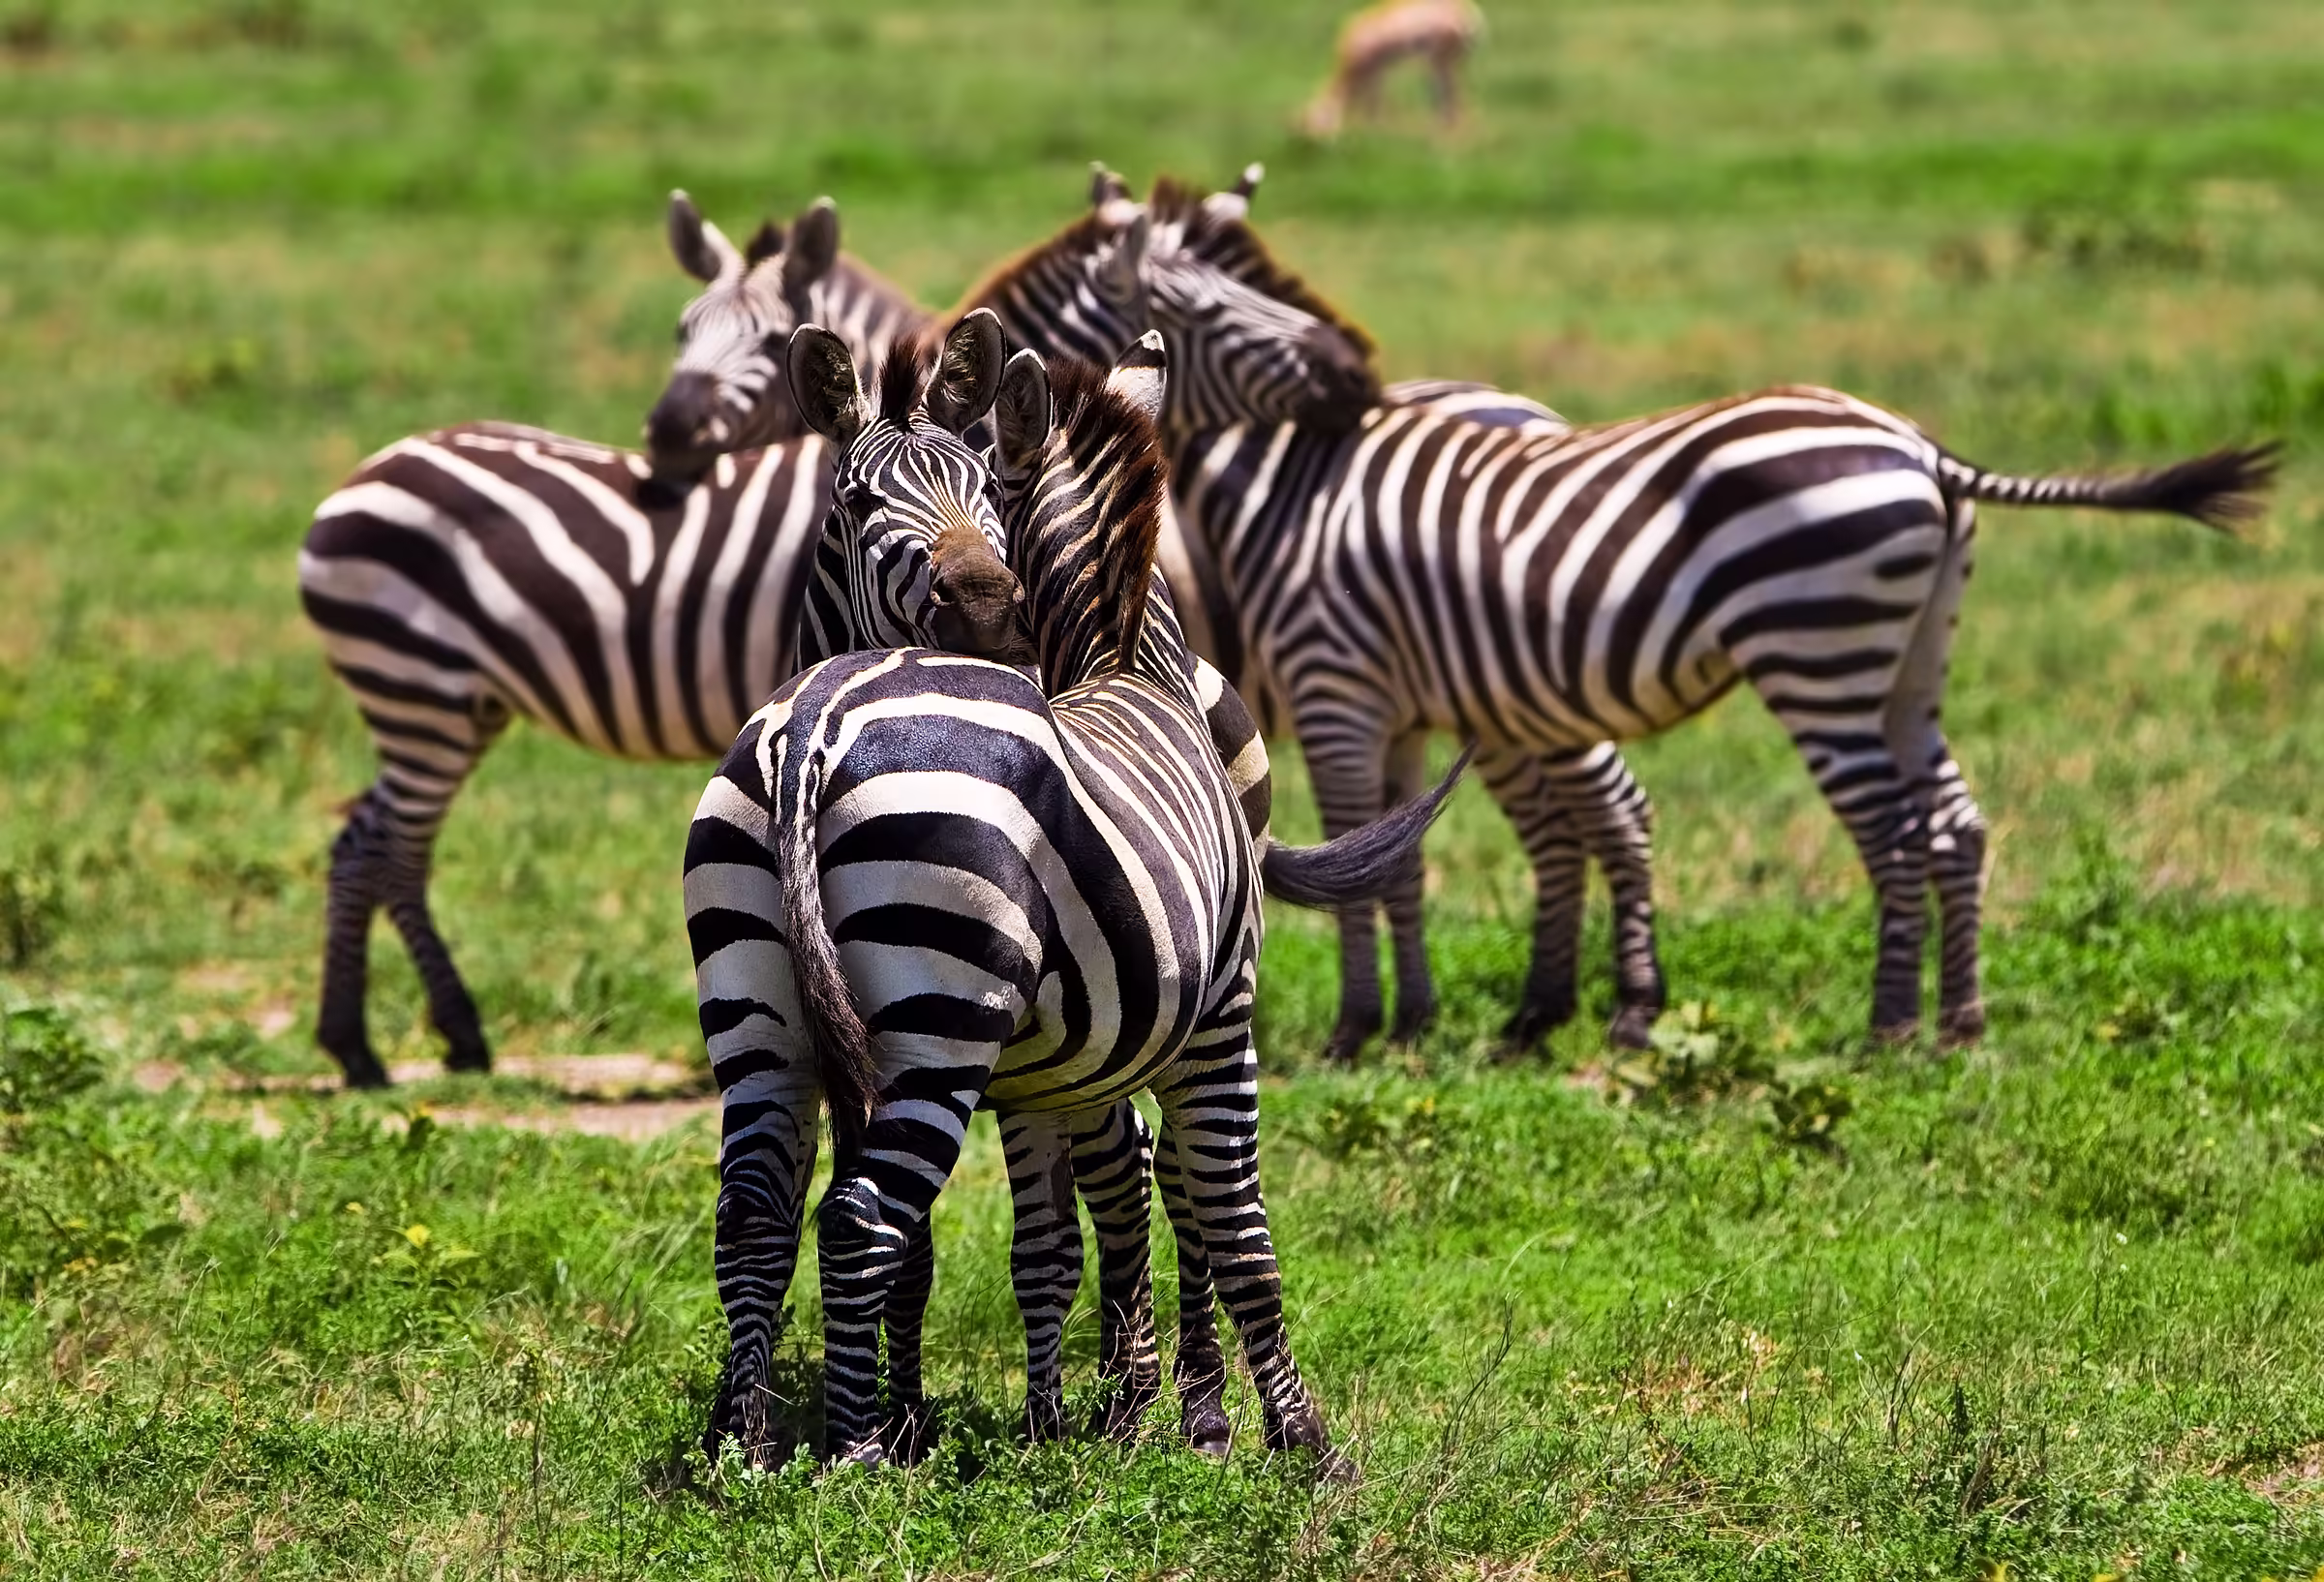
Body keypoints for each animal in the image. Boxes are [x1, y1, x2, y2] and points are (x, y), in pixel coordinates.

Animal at [684, 322, 1460, 1467]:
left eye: (983, 495)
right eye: (859, 502)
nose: (985, 605)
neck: (1134, 666)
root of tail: (814, 723)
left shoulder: (1050, 1063)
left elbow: (1057, 1232)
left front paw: (1051, 1421)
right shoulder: (1220, 1009)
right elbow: (1235, 1211)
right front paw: (1304, 1441)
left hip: (765, 1007)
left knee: (759, 1211)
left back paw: (751, 1445)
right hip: (953, 1021)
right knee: (883, 1214)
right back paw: (869, 1455)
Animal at [1141, 170, 2280, 1057]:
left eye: (1203, 313)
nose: (1354, 376)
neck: (1282, 490)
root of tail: (1925, 450)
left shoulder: (1337, 687)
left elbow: (1360, 861)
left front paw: (1358, 1027)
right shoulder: (1397, 703)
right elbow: (1395, 857)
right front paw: (1407, 1022)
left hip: (1814, 646)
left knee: (1883, 828)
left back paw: (1885, 1025)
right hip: (1908, 661)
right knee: (1953, 821)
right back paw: (1957, 1021)